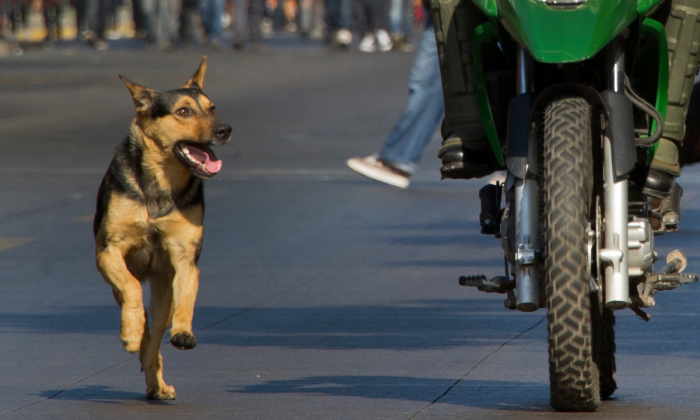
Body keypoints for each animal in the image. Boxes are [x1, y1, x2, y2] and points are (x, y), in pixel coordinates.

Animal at [91, 56, 230, 400]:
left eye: (212, 108)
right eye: (183, 112)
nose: (225, 129)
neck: (162, 181)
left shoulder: (185, 258)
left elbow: (187, 298)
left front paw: (183, 332)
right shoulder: (109, 251)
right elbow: (130, 287)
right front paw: (130, 331)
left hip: (163, 290)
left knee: (155, 338)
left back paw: (157, 380)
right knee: (138, 309)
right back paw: (134, 331)